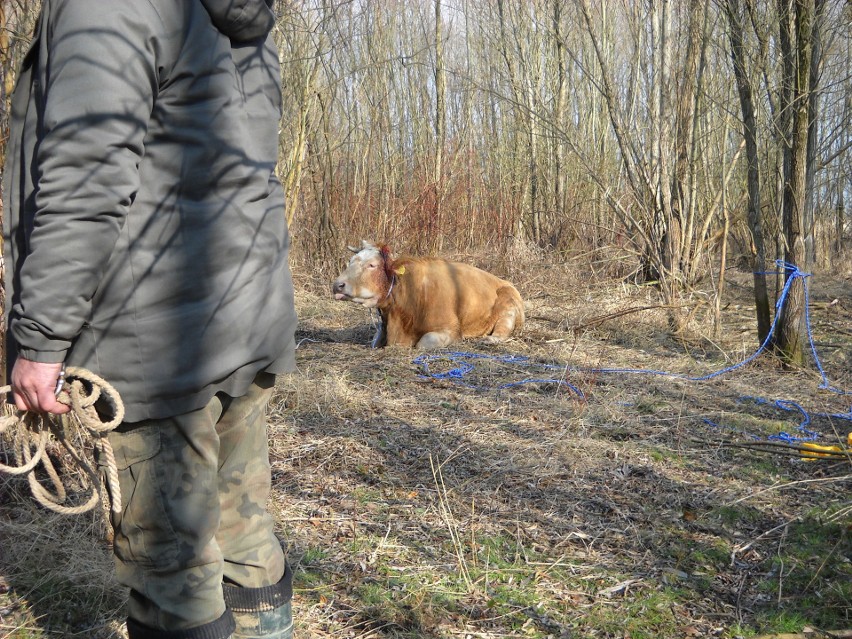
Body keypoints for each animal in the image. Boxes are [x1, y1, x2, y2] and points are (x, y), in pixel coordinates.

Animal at [332, 241, 524, 350]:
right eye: (350, 261)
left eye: (372, 265)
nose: (337, 285)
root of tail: (506, 282)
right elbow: (375, 340)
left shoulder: (451, 329)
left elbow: (423, 344)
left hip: (508, 306)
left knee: (503, 330)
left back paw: (490, 340)